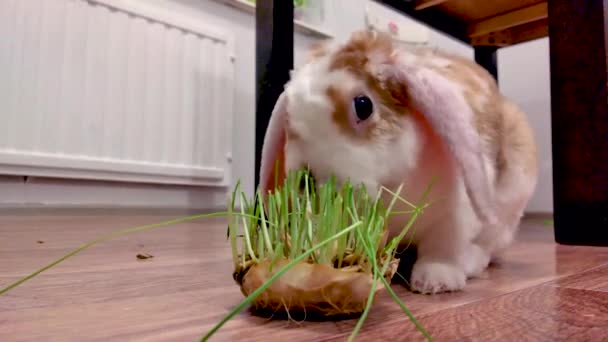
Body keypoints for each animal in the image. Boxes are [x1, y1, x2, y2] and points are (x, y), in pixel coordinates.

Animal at [256, 30, 536, 296]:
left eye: (363, 105)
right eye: (289, 120)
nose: (309, 180)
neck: (391, 187)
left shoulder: (455, 215)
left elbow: (443, 247)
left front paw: (436, 281)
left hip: (507, 211)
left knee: (487, 247)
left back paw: (470, 262)